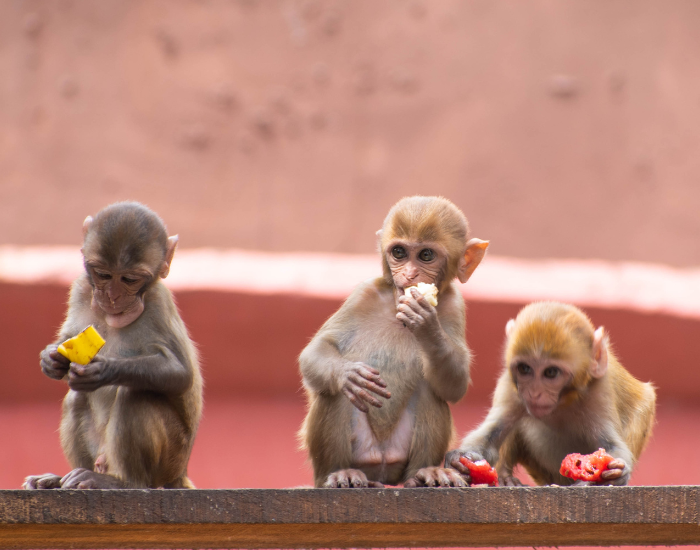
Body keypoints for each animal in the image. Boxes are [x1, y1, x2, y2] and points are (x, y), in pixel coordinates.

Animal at [24, 202, 203, 490]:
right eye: (103, 275)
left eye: (129, 279)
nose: (113, 297)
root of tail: (180, 474)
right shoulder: (81, 288)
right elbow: (68, 337)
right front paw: (50, 359)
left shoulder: (158, 303)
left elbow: (179, 373)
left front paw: (103, 370)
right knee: (76, 397)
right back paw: (63, 478)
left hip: (171, 459)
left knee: (136, 395)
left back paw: (125, 483)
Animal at [298, 196, 489, 488]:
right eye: (399, 252)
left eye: (426, 255)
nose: (409, 275)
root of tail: (381, 466)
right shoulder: (364, 294)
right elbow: (319, 349)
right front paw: (346, 373)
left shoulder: (455, 305)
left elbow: (454, 386)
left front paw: (427, 326)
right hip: (359, 454)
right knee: (336, 394)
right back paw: (340, 473)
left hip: (399, 457)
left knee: (431, 389)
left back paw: (424, 474)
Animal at [445, 301, 656, 486]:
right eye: (524, 368)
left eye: (551, 372)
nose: (534, 393)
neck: (562, 402)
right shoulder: (511, 388)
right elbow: (490, 435)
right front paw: (461, 460)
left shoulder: (598, 391)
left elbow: (611, 445)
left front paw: (615, 473)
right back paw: (505, 476)